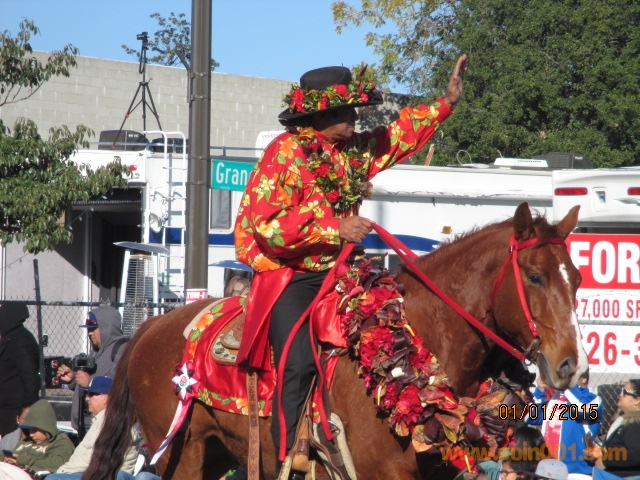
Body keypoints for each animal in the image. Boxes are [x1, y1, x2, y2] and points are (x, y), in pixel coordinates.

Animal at [84, 202, 588, 480]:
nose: (572, 366)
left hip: (214, 453)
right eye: (536, 276)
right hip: (179, 451)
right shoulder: (384, 474)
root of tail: (151, 327)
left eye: (578, 278)